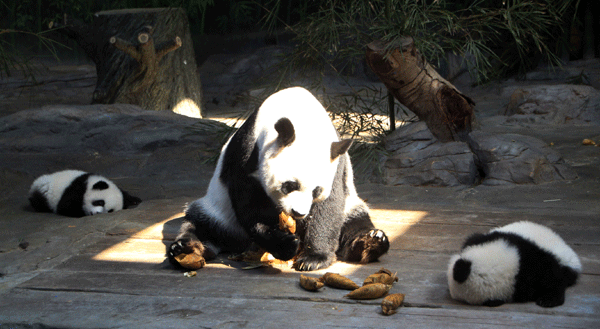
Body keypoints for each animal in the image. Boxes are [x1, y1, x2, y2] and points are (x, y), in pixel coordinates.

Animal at [169, 86, 392, 270]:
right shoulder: (248, 153)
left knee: (355, 223)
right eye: (290, 185)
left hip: (352, 206)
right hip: (218, 212)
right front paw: (285, 244)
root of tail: (241, 243)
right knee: (201, 226)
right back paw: (185, 249)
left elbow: (329, 207)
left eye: (316, 191)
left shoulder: (336, 166)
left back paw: (371, 243)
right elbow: (250, 205)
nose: (299, 213)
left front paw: (313, 258)